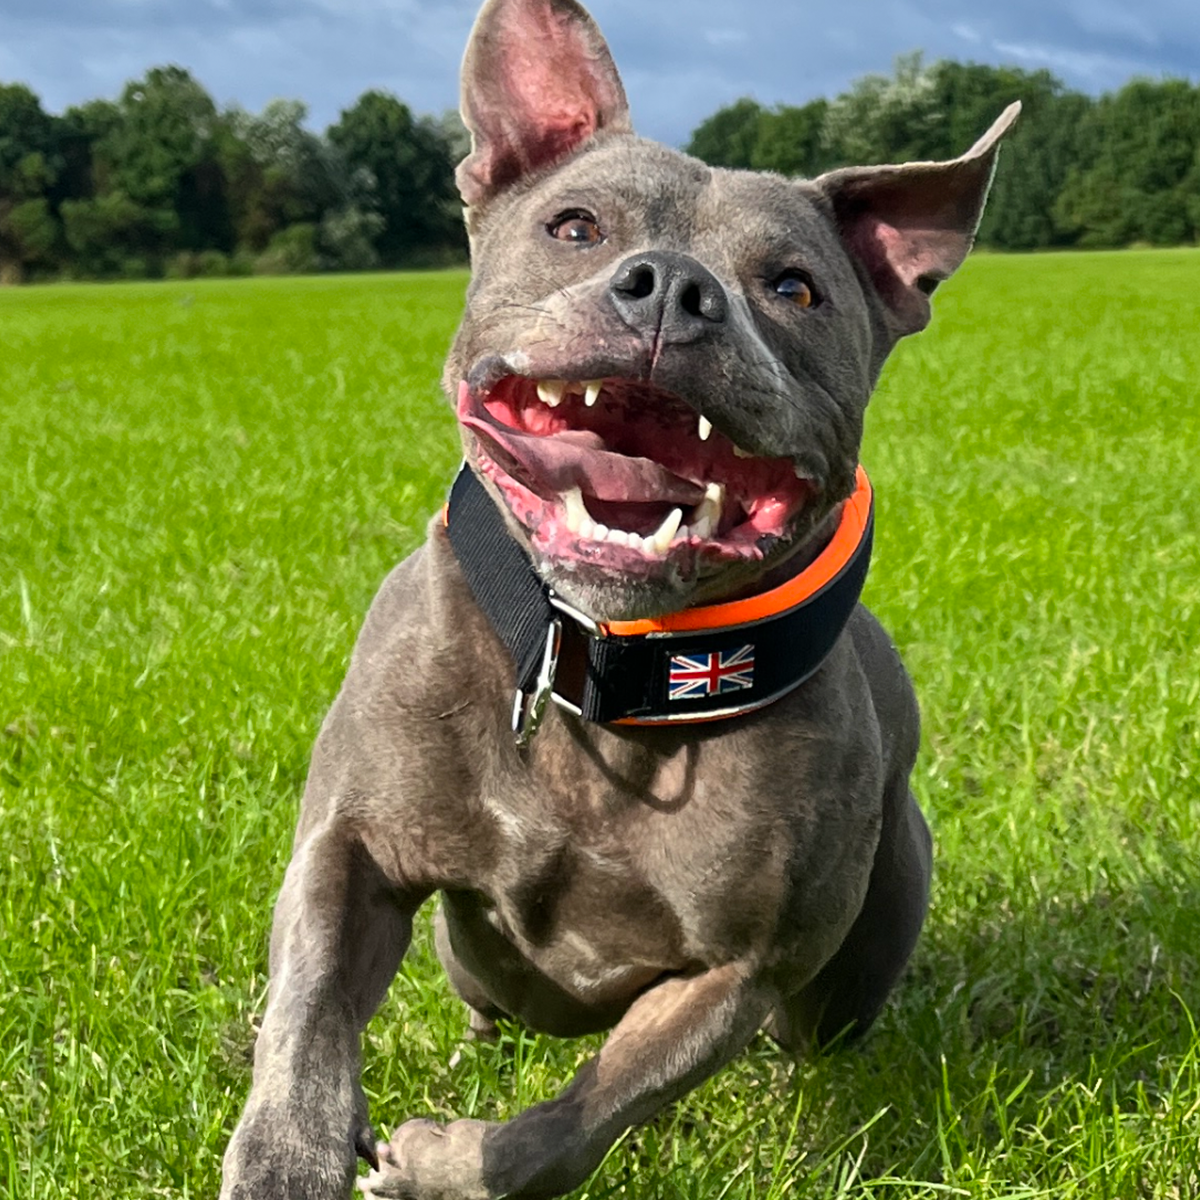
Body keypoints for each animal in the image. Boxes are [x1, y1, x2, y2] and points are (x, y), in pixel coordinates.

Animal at [220, 2, 1017, 1200]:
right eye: (576, 226)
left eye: (794, 287)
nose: (674, 289)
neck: (603, 663)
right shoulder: (346, 849)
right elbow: (306, 1023)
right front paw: (286, 1159)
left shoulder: (733, 972)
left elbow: (573, 1124)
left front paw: (444, 1160)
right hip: (469, 956)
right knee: (479, 1003)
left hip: (851, 961)